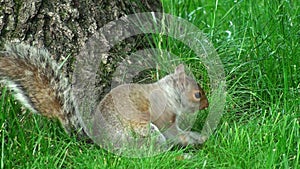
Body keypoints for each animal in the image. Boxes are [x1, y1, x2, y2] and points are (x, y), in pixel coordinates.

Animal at [0, 42, 209, 154]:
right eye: (197, 94)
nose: (207, 105)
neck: (169, 93)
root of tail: (97, 141)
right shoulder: (164, 116)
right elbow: (174, 133)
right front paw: (194, 140)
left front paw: (199, 137)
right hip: (140, 134)